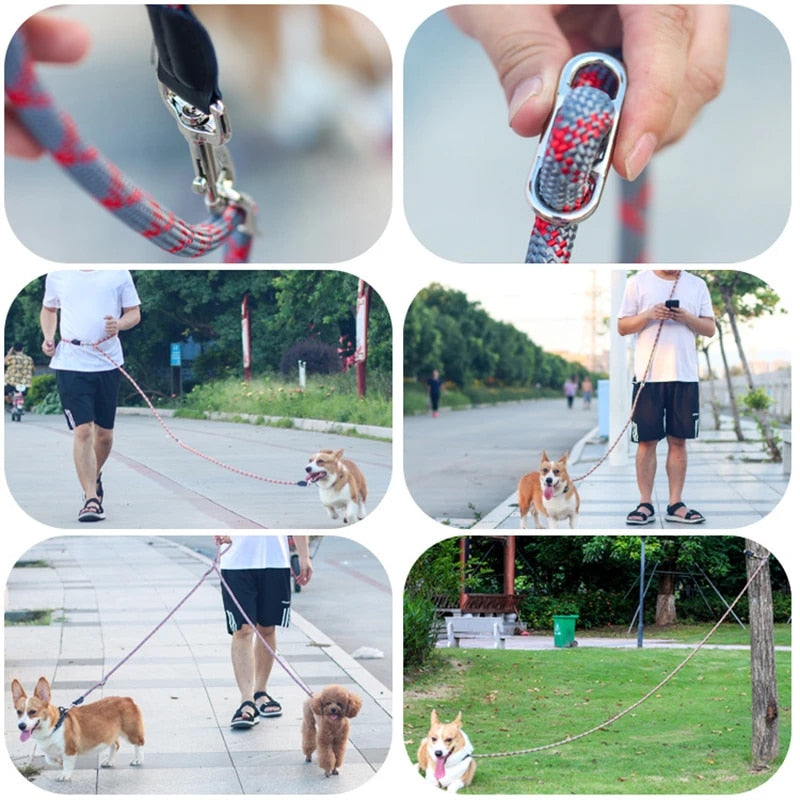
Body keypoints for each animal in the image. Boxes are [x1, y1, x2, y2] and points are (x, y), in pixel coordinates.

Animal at [10, 676, 145, 780]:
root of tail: (127, 699)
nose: (21, 726)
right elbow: (50, 759)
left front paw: (64, 775)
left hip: (130, 733)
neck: (54, 727)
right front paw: (59, 762)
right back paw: (109, 761)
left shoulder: (70, 750)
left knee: (139, 744)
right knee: (115, 745)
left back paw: (138, 760)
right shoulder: (50, 752)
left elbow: (67, 764)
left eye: (32, 712)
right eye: (18, 712)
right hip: (109, 734)